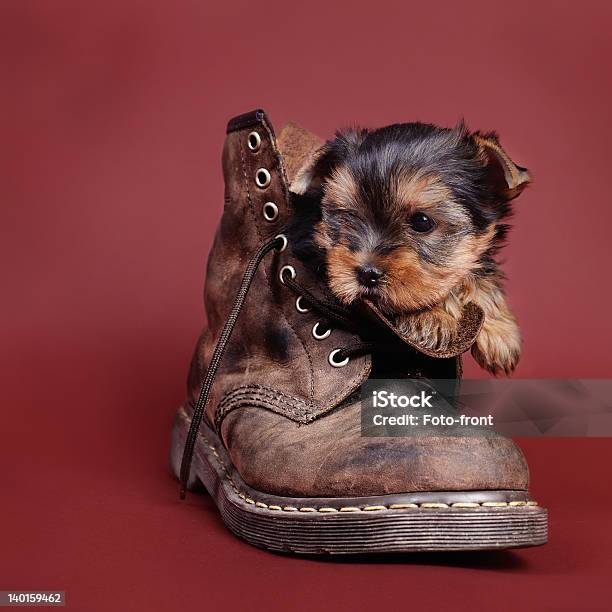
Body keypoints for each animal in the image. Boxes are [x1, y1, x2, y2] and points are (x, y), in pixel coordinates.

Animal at [290, 122, 528, 376]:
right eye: (349, 216)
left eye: (422, 222)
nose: (367, 274)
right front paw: (429, 317)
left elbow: (474, 269)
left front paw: (500, 329)